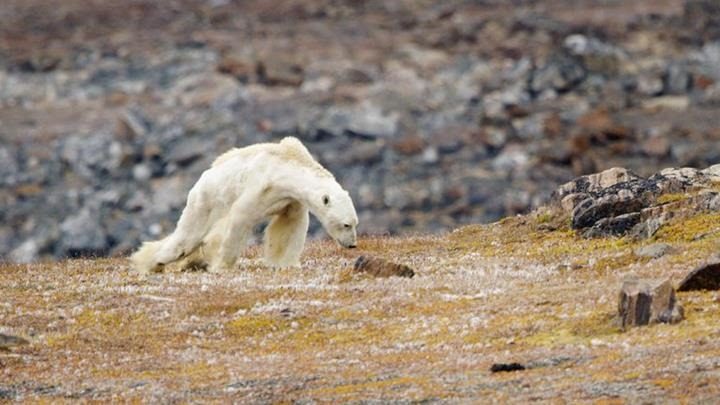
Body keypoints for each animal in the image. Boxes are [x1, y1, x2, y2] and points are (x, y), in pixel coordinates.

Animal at [130, 137, 360, 274]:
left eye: (355, 223)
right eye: (346, 224)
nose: (352, 244)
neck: (287, 166)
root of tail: (201, 179)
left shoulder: (290, 199)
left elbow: (289, 226)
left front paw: (286, 263)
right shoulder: (261, 185)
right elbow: (240, 218)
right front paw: (221, 264)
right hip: (205, 201)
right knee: (186, 238)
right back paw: (153, 262)